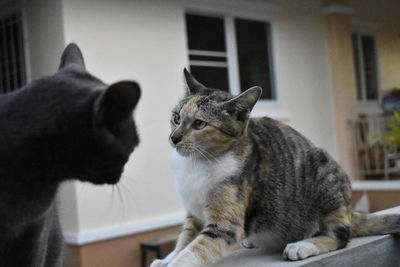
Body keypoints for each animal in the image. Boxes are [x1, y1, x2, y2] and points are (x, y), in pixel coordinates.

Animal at [151, 70, 400, 266]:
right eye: (176, 117)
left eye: (199, 123)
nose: (174, 138)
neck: (197, 163)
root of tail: (349, 209)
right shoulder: (194, 213)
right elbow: (184, 240)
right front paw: (167, 258)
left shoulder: (225, 223)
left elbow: (195, 249)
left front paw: (175, 262)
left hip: (324, 177)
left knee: (340, 235)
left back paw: (302, 245)